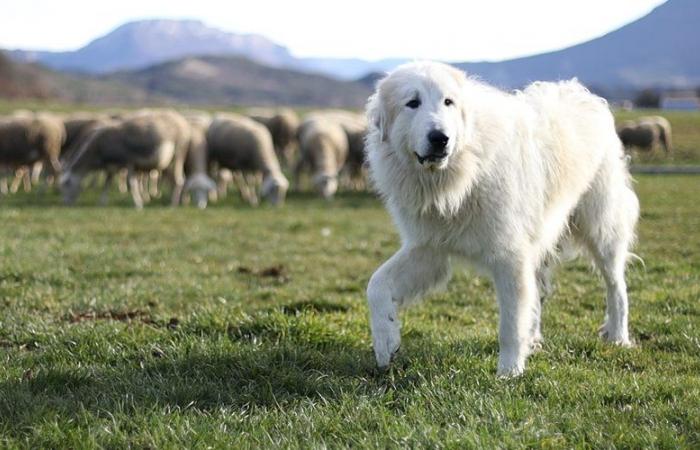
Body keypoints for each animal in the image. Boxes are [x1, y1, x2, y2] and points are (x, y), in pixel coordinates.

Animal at [59, 110, 191, 208]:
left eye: (66, 185)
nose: (66, 204)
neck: (97, 151)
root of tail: (182, 121)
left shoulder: (129, 162)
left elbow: (132, 183)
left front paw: (138, 204)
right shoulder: (111, 166)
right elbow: (107, 183)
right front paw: (102, 202)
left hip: (179, 152)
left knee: (179, 180)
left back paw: (173, 204)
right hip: (167, 162)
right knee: (175, 179)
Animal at [366, 60, 640, 376]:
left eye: (448, 102)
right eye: (412, 103)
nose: (440, 138)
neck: (463, 172)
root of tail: (582, 93)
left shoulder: (510, 256)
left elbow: (510, 324)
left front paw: (509, 372)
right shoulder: (428, 249)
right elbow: (376, 285)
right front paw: (386, 341)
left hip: (601, 228)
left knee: (616, 285)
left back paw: (618, 336)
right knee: (538, 292)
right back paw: (535, 339)